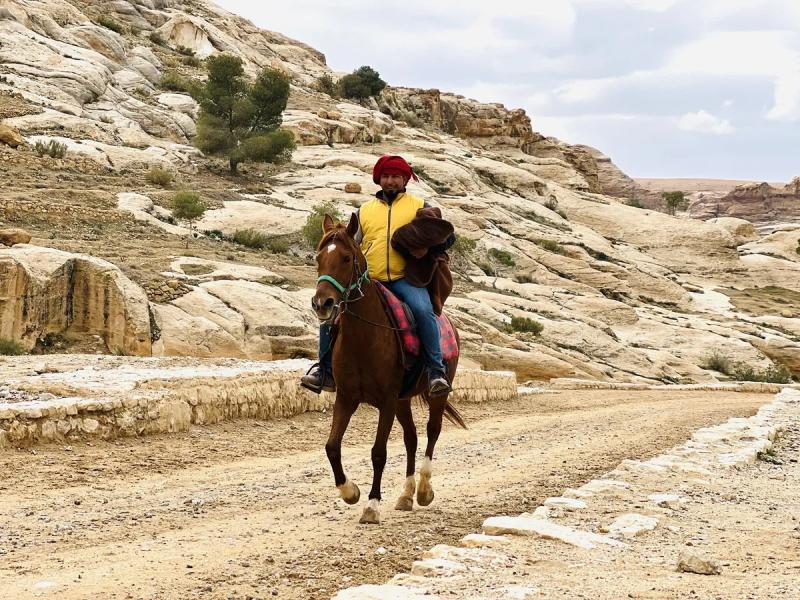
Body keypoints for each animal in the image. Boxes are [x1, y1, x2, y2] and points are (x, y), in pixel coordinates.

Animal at [310, 213, 466, 524]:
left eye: (346, 258)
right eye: (318, 257)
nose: (322, 303)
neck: (363, 338)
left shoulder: (387, 401)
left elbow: (378, 452)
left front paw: (371, 505)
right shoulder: (346, 398)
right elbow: (332, 447)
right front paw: (350, 492)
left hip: (435, 394)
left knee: (432, 430)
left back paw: (423, 490)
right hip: (403, 401)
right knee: (411, 438)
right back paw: (406, 495)